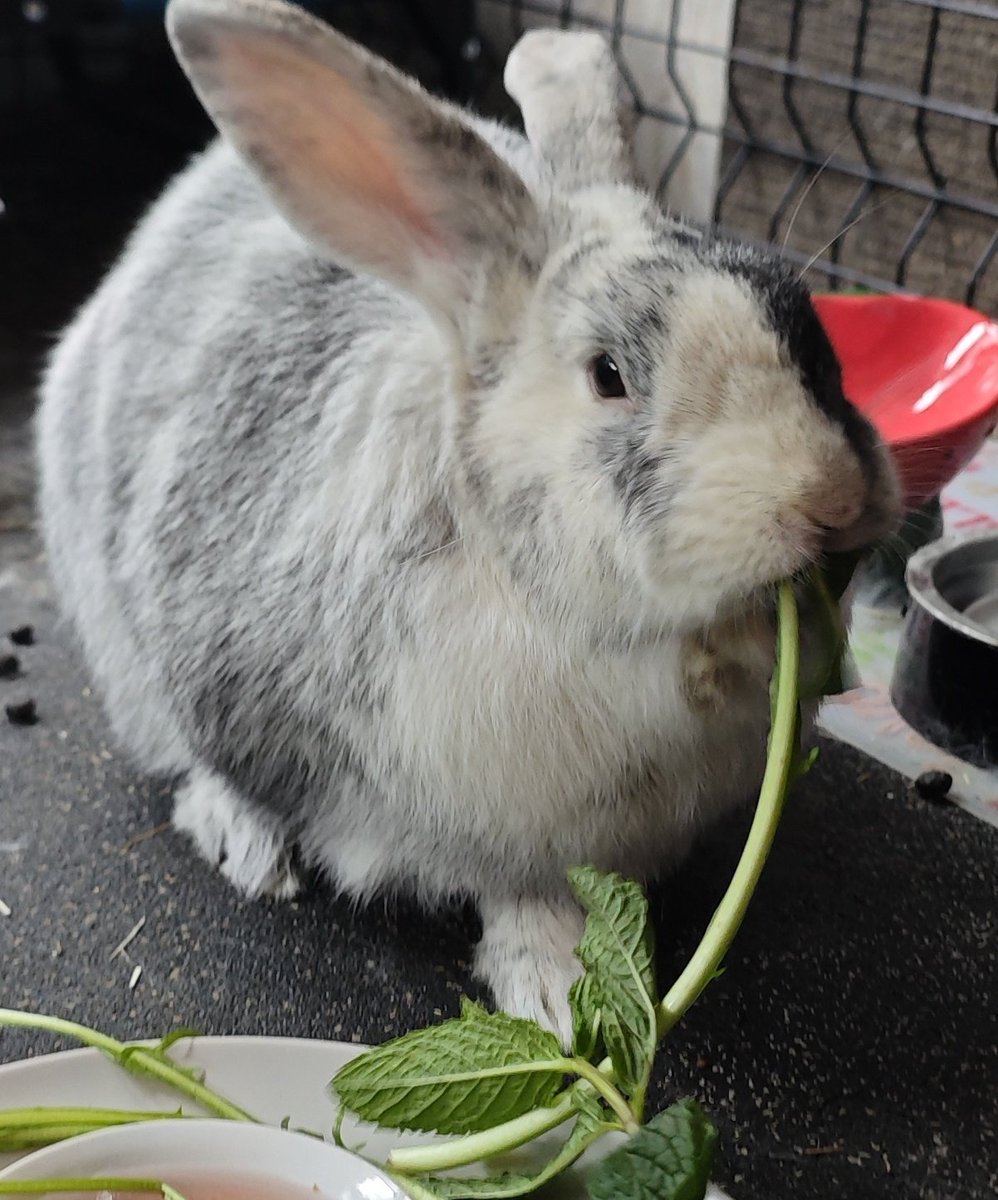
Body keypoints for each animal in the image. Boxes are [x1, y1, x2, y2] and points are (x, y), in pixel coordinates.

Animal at [36, 0, 900, 1043]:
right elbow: (502, 888)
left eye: (808, 325)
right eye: (609, 375)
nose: (831, 499)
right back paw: (244, 843)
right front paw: (562, 998)